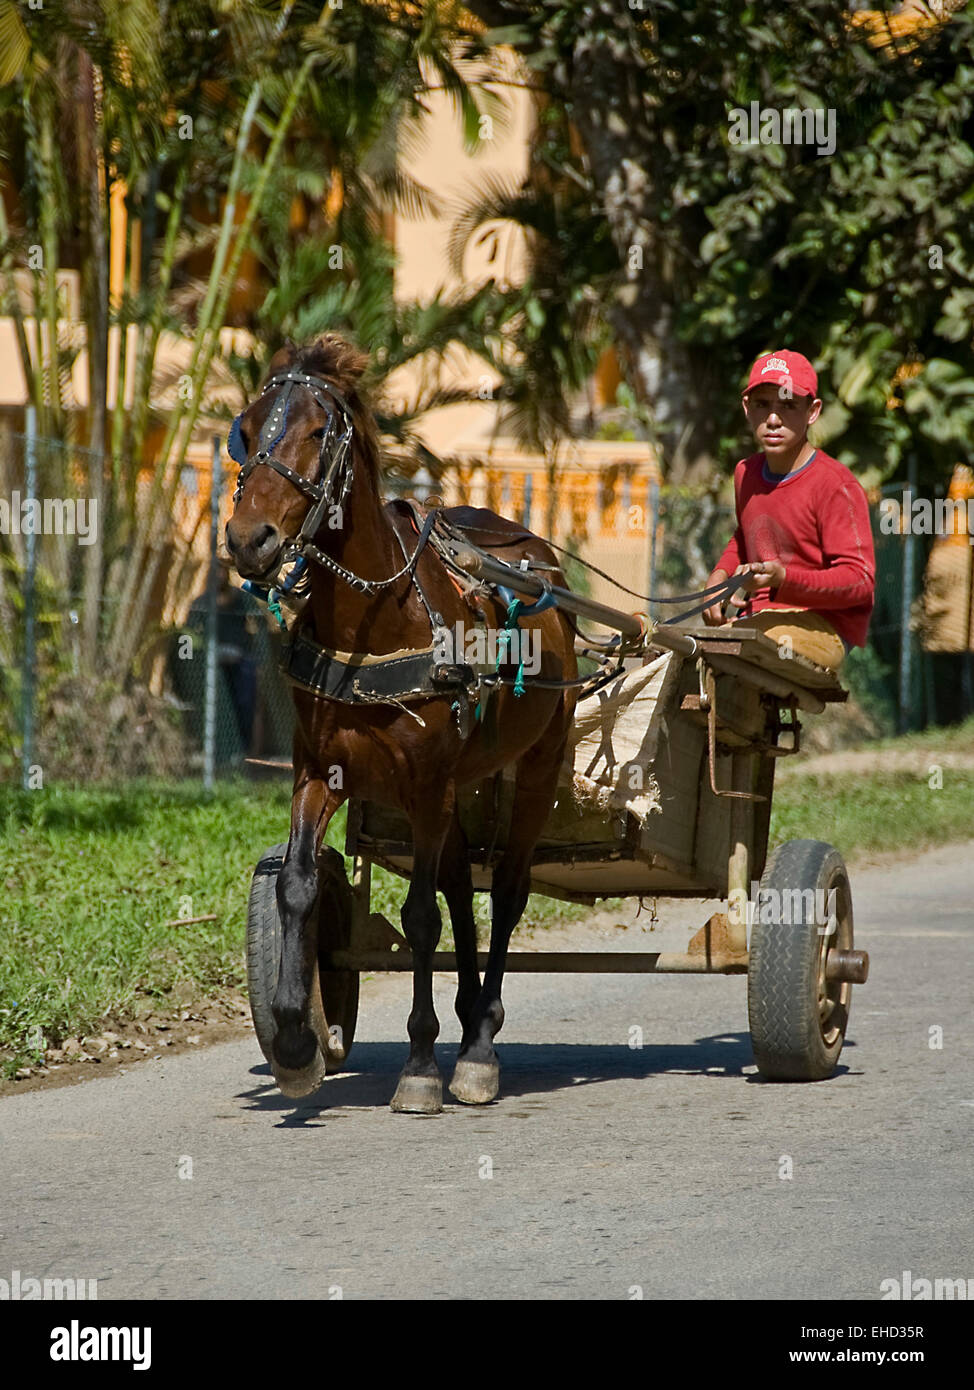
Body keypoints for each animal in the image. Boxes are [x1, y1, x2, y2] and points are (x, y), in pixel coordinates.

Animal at [225, 334, 577, 1113]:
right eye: (247, 428)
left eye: (316, 433)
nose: (247, 540)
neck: (375, 625)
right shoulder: (318, 771)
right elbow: (298, 885)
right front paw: (295, 1037)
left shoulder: (425, 785)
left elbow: (421, 918)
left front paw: (421, 1063)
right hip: (458, 788)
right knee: (462, 892)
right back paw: (472, 1018)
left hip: (532, 768)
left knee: (505, 894)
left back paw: (479, 1045)